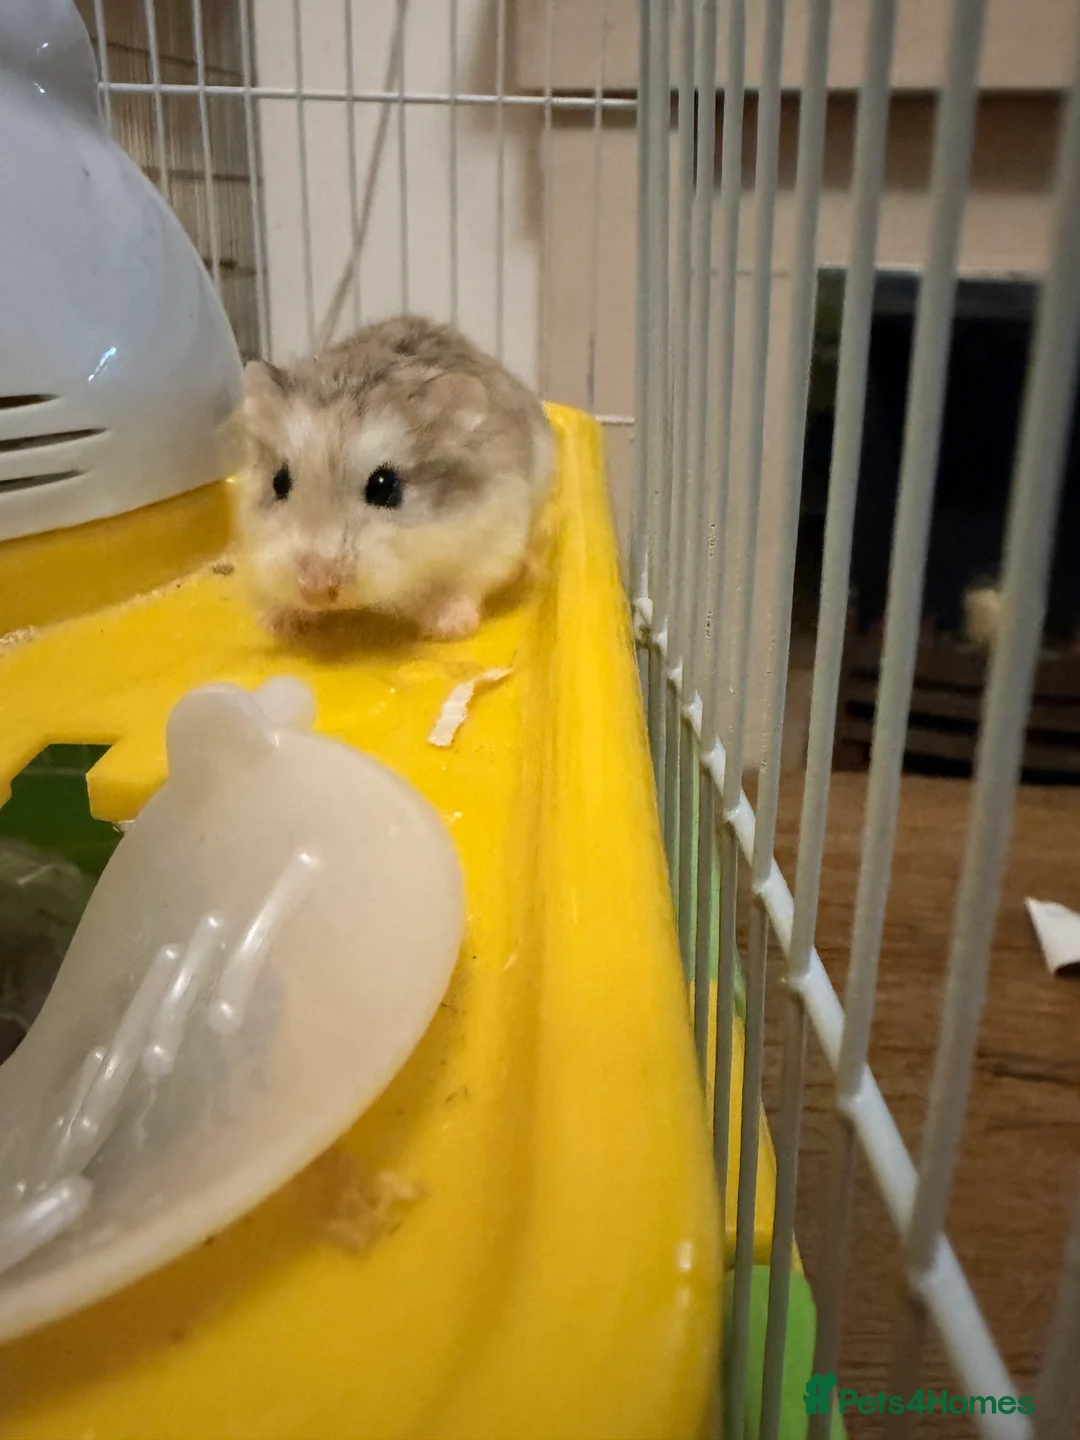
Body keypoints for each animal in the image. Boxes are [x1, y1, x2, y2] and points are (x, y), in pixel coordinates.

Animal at [234, 315, 554, 640]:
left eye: (384, 487)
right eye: (278, 482)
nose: (316, 591)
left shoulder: (496, 538)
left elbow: (465, 585)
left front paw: (449, 626)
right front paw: (276, 622)